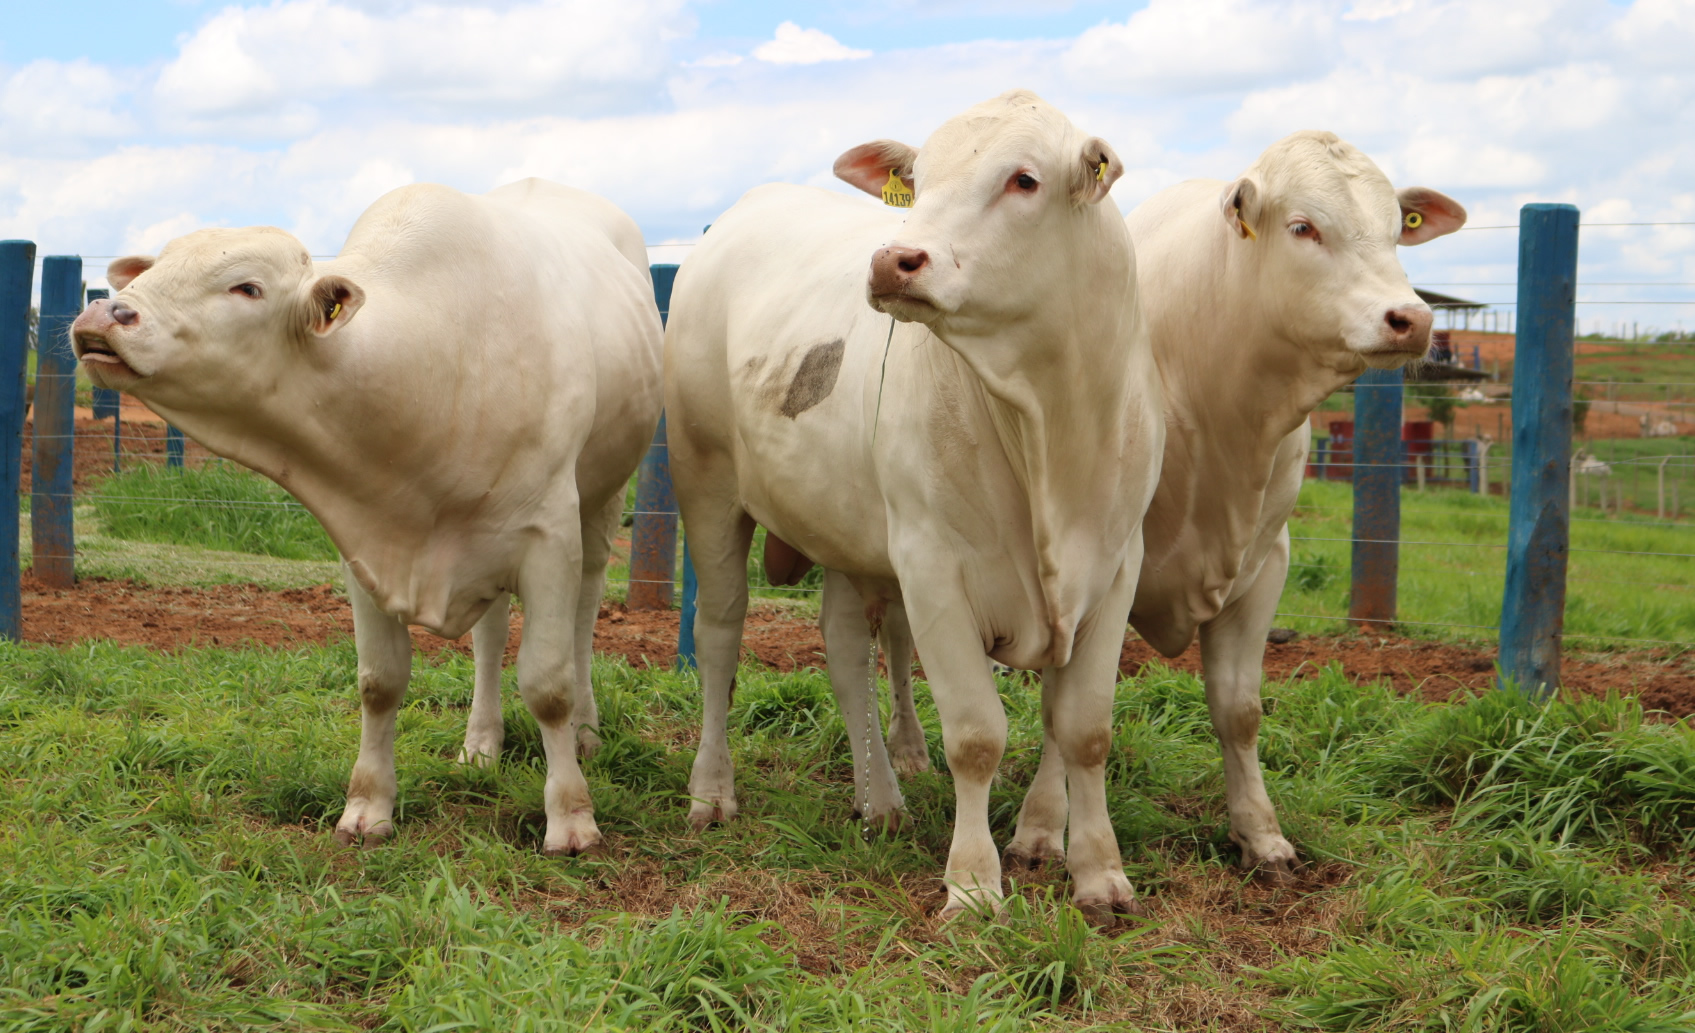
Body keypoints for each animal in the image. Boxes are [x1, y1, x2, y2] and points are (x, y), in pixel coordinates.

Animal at [76, 178, 664, 854]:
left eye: (246, 287)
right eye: (156, 269)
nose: (103, 316)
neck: (432, 365)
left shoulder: (549, 537)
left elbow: (548, 685)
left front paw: (571, 817)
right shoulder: (366, 543)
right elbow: (380, 682)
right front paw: (367, 806)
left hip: (601, 504)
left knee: (585, 618)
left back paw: (588, 732)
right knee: (490, 638)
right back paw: (481, 743)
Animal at [661, 92, 1166, 922]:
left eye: (1023, 179)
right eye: (918, 181)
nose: (891, 260)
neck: (1048, 431)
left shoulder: (1114, 568)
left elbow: (1085, 728)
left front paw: (1098, 873)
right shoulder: (933, 567)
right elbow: (975, 734)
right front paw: (972, 884)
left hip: (843, 526)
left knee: (844, 652)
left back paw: (880, 797)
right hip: (706, 489)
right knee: (720, 636)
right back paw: (711, 790)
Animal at [840, 130, 1464, 875]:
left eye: (1397, 230)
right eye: (1303, 226)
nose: (1411, 319)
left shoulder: (1264, 567)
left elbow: (1238, 710)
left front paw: (1259, 832)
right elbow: (1060, 712)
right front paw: (1041, 830)